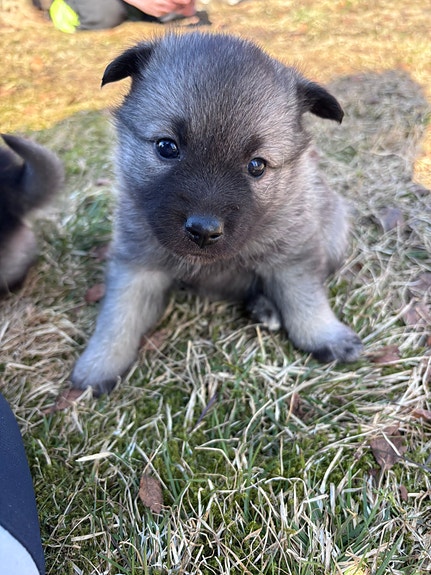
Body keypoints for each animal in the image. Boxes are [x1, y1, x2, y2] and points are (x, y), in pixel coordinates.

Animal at [71, 32, 362, 395]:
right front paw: (100, 363)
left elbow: (305, 300)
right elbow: (119, 315)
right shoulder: (136, 265)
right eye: (166, 147)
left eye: (256, 165)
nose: (203, 231)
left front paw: (325, 335)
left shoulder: (292, 256)